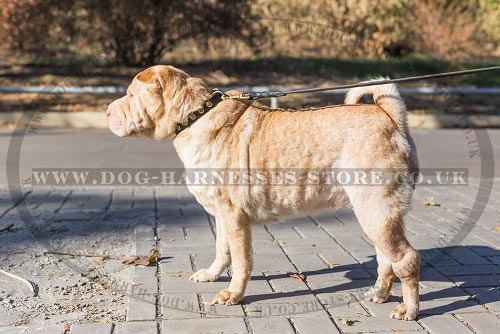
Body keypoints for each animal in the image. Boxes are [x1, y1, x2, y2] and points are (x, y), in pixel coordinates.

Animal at [106, 66, 422, 320]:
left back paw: (409, 309)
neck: (195, 116)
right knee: (386, 259)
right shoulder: (223, 215)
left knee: (407, 259)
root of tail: (389, 116)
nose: (107, 111)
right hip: (374, 214)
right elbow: (222, 250)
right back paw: (379, 294)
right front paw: (212, 274)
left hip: (376, 210)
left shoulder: (235, 218)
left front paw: (233, 294)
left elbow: (241, 261)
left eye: (131, 95)